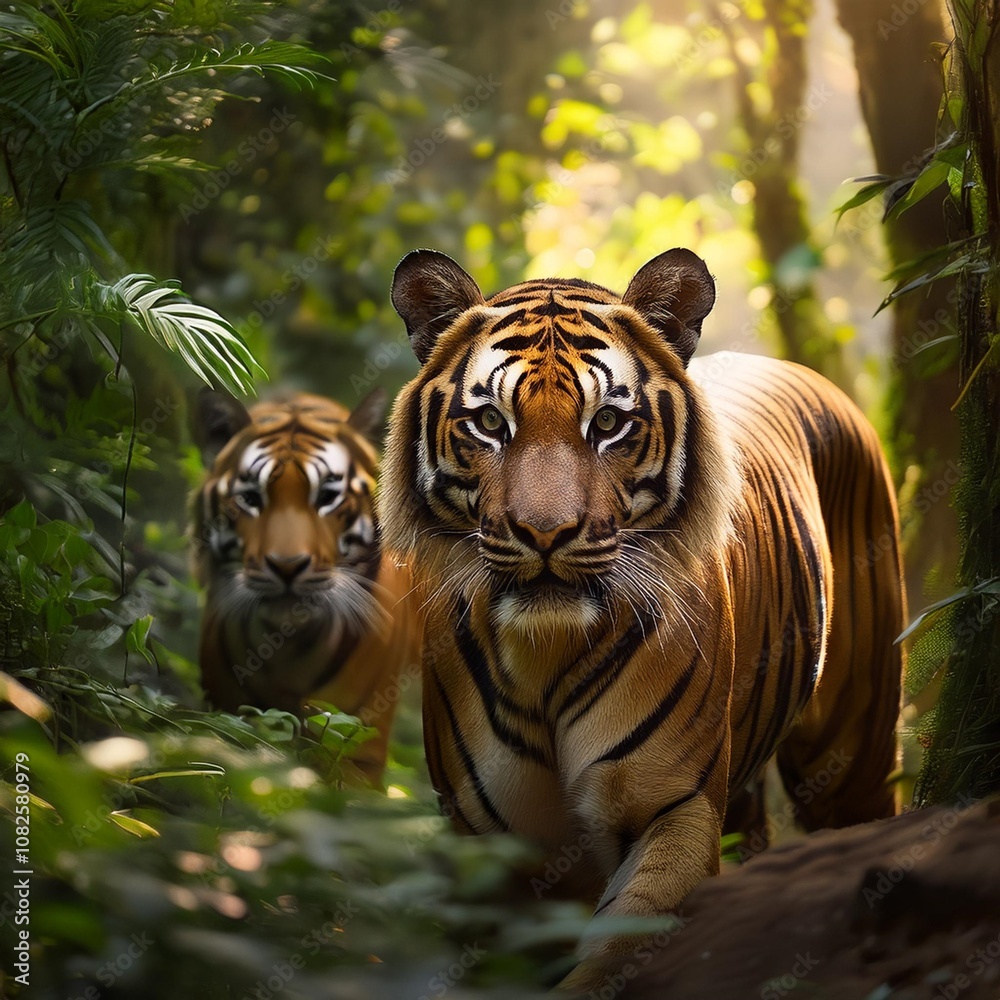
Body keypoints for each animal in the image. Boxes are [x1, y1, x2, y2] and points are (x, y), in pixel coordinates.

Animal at [189, 388, 420, 785]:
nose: (287, 566)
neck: (288, 647)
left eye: (327, 497)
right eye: (251, 498)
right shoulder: (227, 716)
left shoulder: (358, 748)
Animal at [379, 248, 905, 991]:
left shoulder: (673, 808)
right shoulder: (484, 847)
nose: (545, 533)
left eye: (606, 425)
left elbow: (614, 958)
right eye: (490, 424)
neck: (545, 655)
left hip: (852, 749)